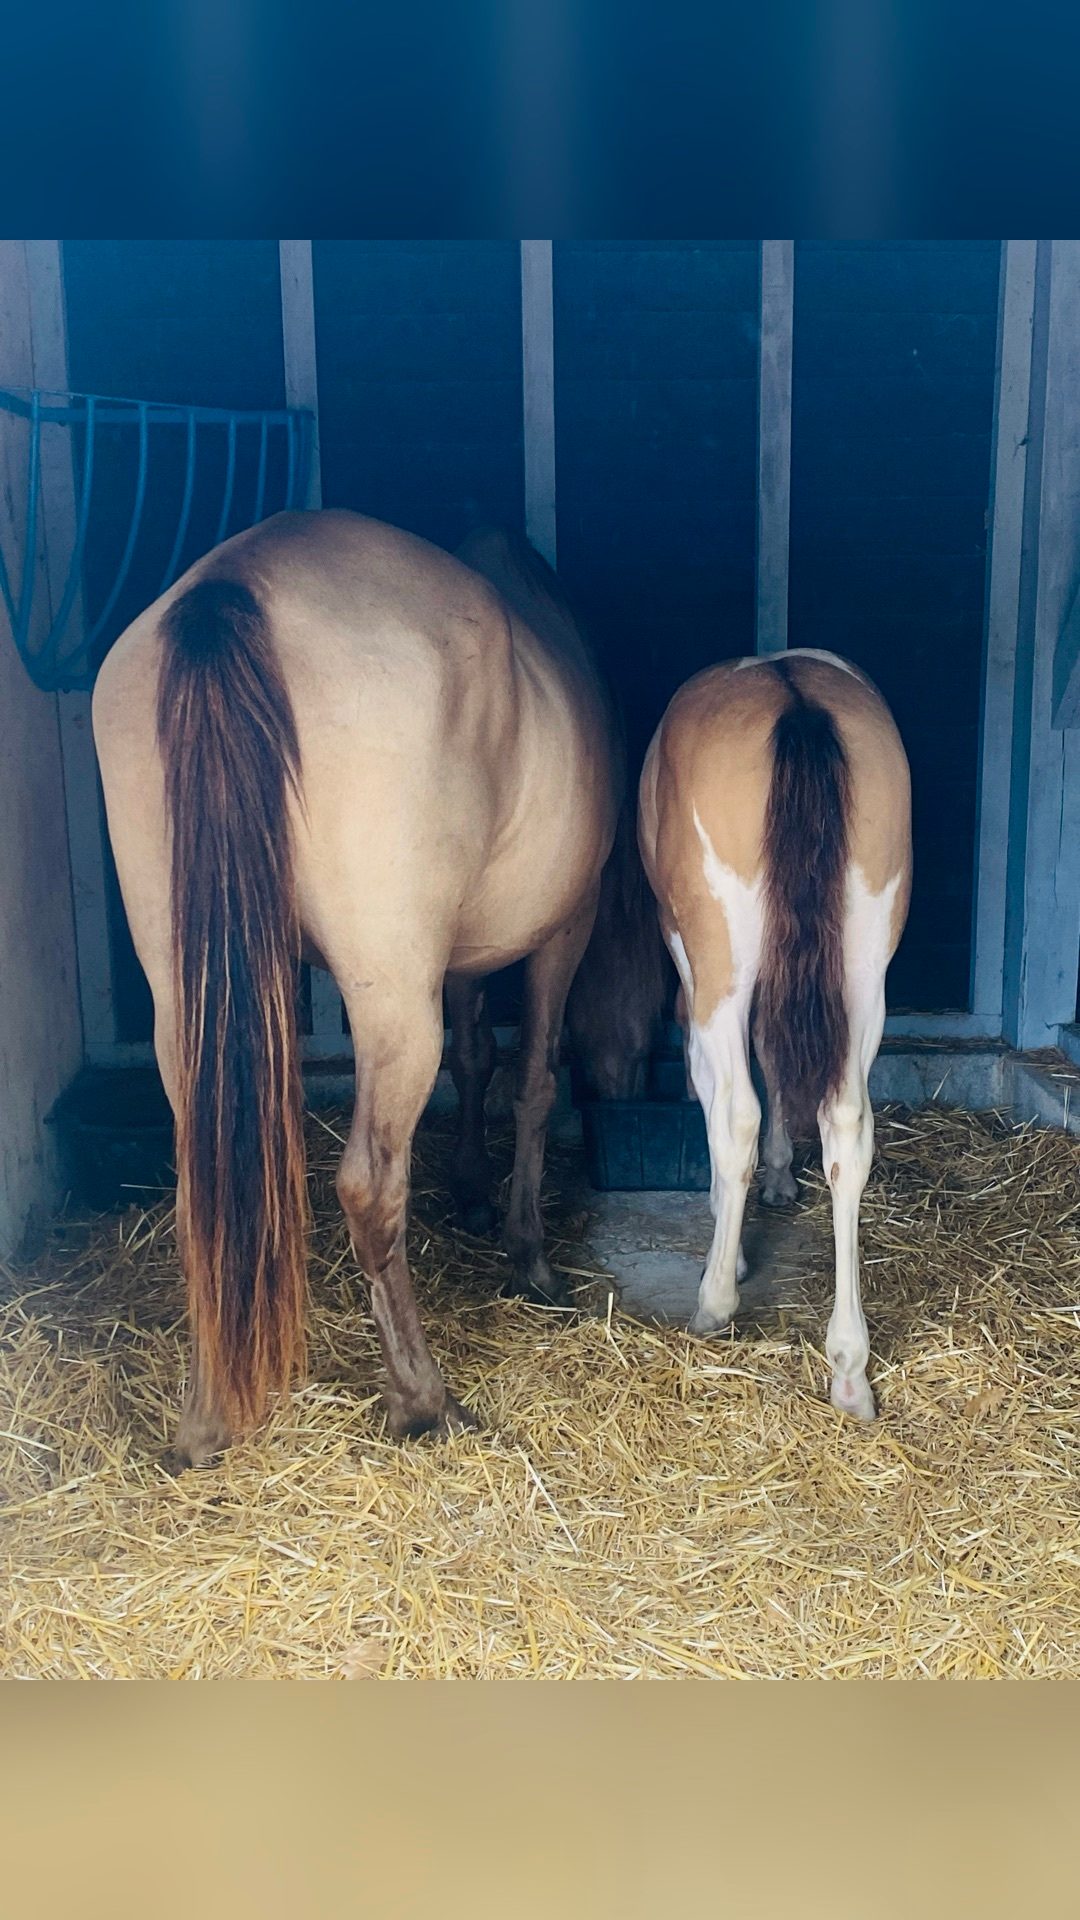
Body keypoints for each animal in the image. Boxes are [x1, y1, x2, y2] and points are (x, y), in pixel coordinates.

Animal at [92, 510, 619, 1465]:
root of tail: (233, 584)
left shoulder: (461, 959)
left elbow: (478, 1060)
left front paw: (475, 1194)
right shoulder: (568, 926)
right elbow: (533, 1080)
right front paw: (525, 1250)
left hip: (185, 997)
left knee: (200, 1193)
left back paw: (205, 1422)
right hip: (390, 996)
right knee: (372, 1186)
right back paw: (422, 1399)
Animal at [638, 648, 912, 1420]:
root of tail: (795, 699)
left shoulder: (693, 965)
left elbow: (717, 1091)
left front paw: (727, 1246)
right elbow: (775, 1053)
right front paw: (783, 1175)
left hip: (722, 957)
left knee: (735, 1112)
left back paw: (714, 1302)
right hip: (864, 969)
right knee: (847, 1126)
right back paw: (849, 1364)